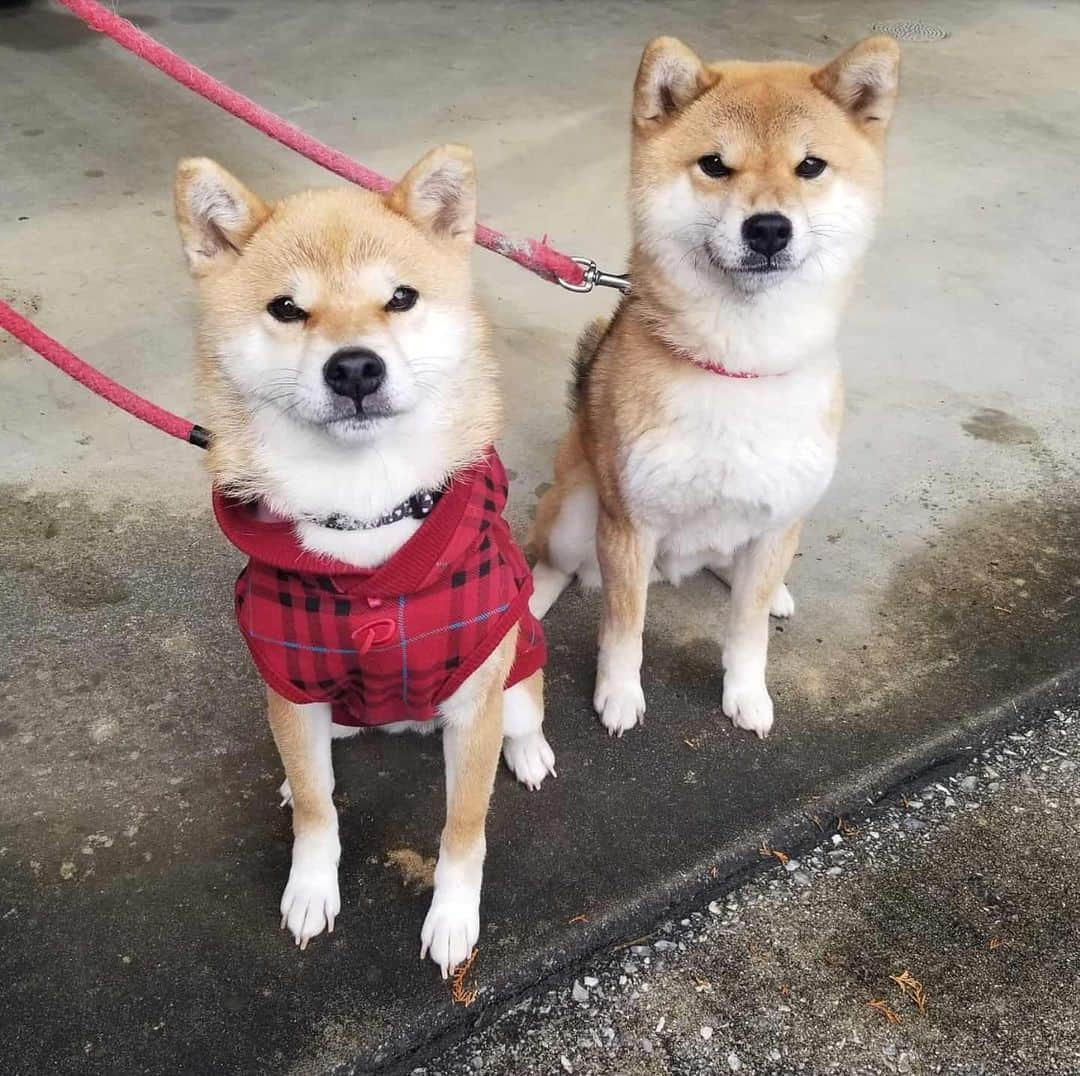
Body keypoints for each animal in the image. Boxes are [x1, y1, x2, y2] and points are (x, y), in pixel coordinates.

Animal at [174, 142, 557, 976]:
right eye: (287, 309)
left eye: (401, 299)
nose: (354, 368)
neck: (366, 513)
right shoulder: (289, 686)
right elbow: (320, 809)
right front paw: (311, 885)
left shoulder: (473, 701)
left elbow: (463, 827)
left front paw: (453, 918)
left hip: (512, 666)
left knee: (525, 709)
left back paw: (531, 751)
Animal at [527, 33, 898, 738]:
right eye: (715, 166)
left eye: (811, 166)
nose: (769, 228)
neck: (739, 368)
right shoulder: (629, 524)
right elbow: (624, 627)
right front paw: (618, 694)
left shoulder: (779, 519)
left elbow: (746, 630)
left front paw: (747, 693)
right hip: (578, 509)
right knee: (555, 562)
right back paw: (530, 599)